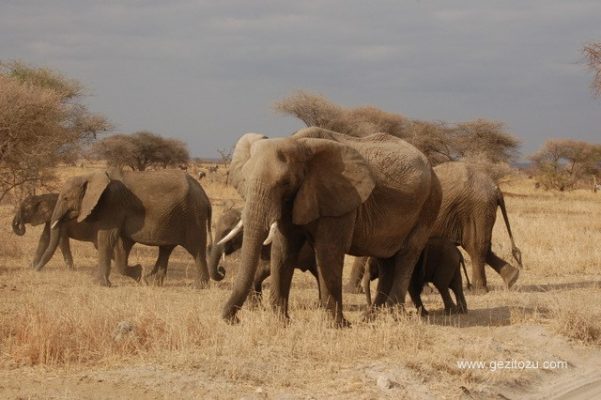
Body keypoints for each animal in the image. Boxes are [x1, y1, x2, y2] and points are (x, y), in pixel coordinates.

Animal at [32, 169, 221, 288]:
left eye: (65, 198)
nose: (35, 270)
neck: (91, 175)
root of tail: (205, 197)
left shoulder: (112, 205)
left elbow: (106, 239)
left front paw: (101, 284)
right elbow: (122, 245)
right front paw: (137, 273)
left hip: (192, 216)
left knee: (196, 249)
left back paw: (198, 287)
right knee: (166, 249)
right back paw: (151, 282)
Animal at [220, 126, 440, 326]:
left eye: (285, 182)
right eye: (245, 179)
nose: (234, 320)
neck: (299, 144)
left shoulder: (340, 199)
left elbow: (329, 251)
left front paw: (338, 325)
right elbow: (283, 249)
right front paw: (281, 322)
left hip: (429, 205)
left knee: (407, 255)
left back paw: (392, 316)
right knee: (385, 259)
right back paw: (370, 318)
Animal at [346, 161, 520, 296]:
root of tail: (496, 188)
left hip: (477, 208)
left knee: (474, 246)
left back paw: (479, 290)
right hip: (480, 210)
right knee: (482, 245)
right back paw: (512, 278)